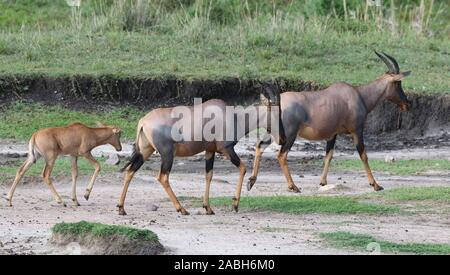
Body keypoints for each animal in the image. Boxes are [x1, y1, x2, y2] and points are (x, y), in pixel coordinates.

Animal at [246, 51, 412, 194]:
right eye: (398, 83)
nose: (407, 104)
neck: (358, 94)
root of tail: (274, 102)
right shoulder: (357, 131)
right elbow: (363, 155)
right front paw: (376, 185)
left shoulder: (333, 134)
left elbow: (328, 156)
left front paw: (323, 182)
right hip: (289, 135)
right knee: (281, 155)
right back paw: (293, 186)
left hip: (273, 132)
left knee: (260, 146)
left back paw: (251, 181)